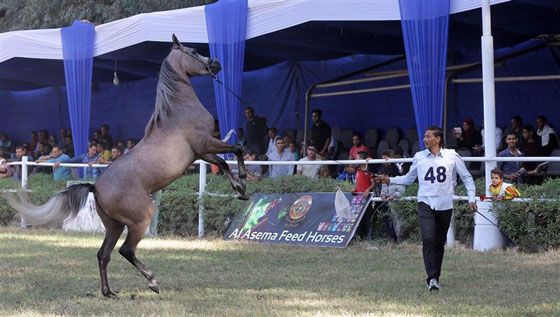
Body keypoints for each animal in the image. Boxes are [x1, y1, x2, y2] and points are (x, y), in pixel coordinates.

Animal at [6, 34, 247, 296]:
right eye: (193, 51)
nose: (216, 63)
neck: (179, 110)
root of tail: (95, 187)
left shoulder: (200, 152)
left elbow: (224, 164)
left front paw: (240, 189)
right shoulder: (205, 143)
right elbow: (236, 150)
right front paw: (244, 180)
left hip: (114, 225)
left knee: (103, 254)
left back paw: (108, 292)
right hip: (140, 219)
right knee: (126, 250)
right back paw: (152, 281)